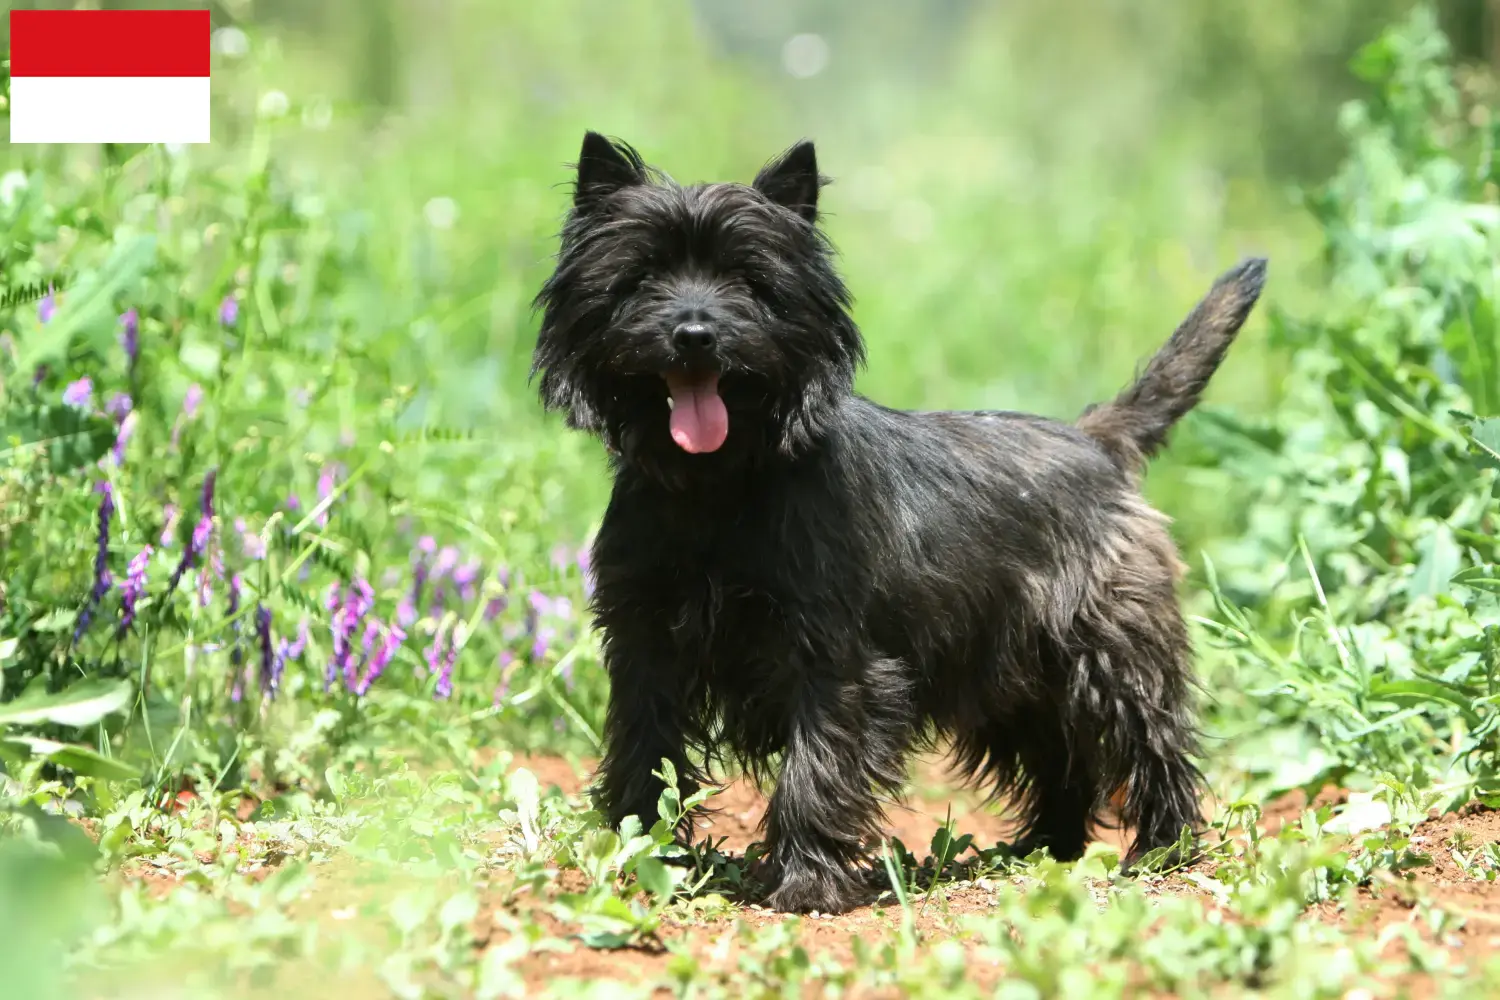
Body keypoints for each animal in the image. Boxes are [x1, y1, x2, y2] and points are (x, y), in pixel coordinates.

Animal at [531, 132, 1266, 917]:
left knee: (1151, 742)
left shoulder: (835, 662)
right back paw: (1045, 849)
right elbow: (645, 749)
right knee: (1059, 759)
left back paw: (1163, 849)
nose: (695, 333)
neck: (719, 487)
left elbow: (815, 767)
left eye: (750, 282)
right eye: (641, 277)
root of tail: (1095, 438)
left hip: (1110, 651)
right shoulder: (647, 644)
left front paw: (806, 882)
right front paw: (641, 851)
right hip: (1012, 677)